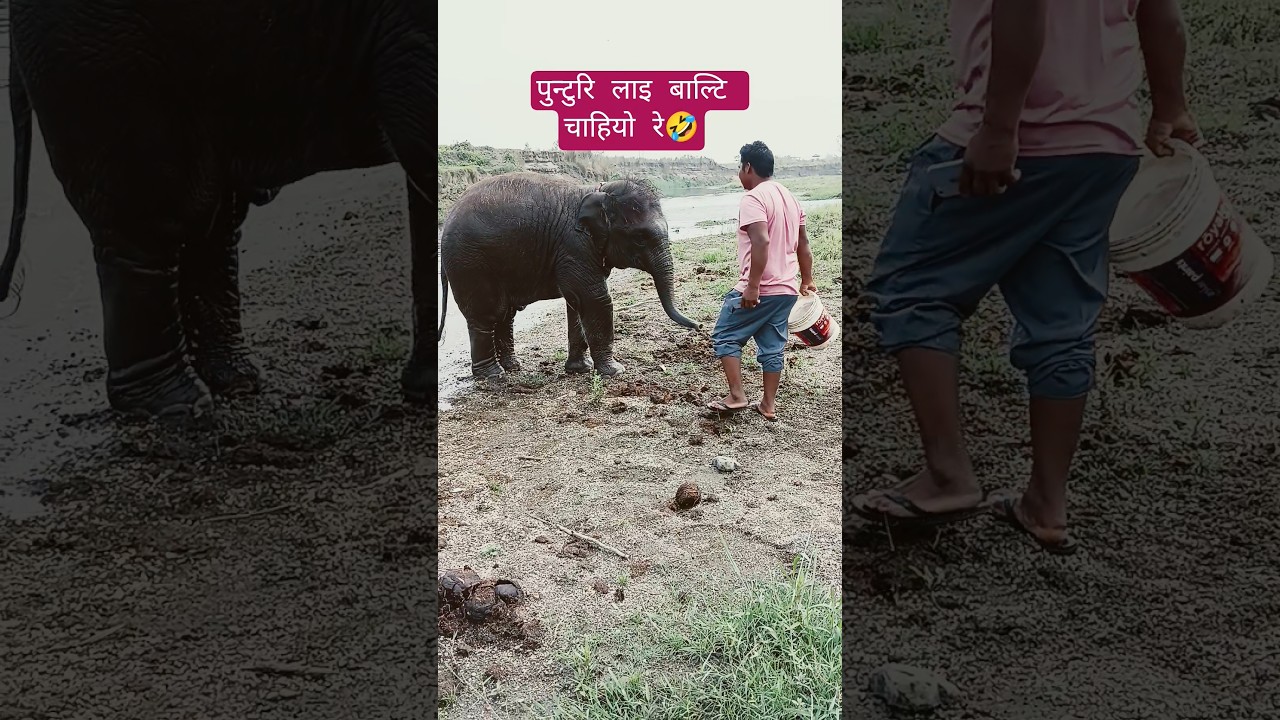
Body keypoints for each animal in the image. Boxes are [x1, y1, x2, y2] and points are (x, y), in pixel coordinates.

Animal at [0, 0, 432, 421]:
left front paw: (422, 393)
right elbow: (417, 135)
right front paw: (424, 396)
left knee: (210, 217)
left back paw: (235, 381)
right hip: (104, 58)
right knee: (151, 212)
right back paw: (177, 405)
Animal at [438, 173, 700, 379]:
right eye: (640, 238)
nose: (699, 325)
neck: (598, 191)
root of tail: (447, 219)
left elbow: (576, 303)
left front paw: (580, 369)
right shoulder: (574, 246)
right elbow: (595, 299)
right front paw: (615, 371)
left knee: (505, 314)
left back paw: (512, 367)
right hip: (470, 264)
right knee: (485, 315)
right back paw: (493, 376)